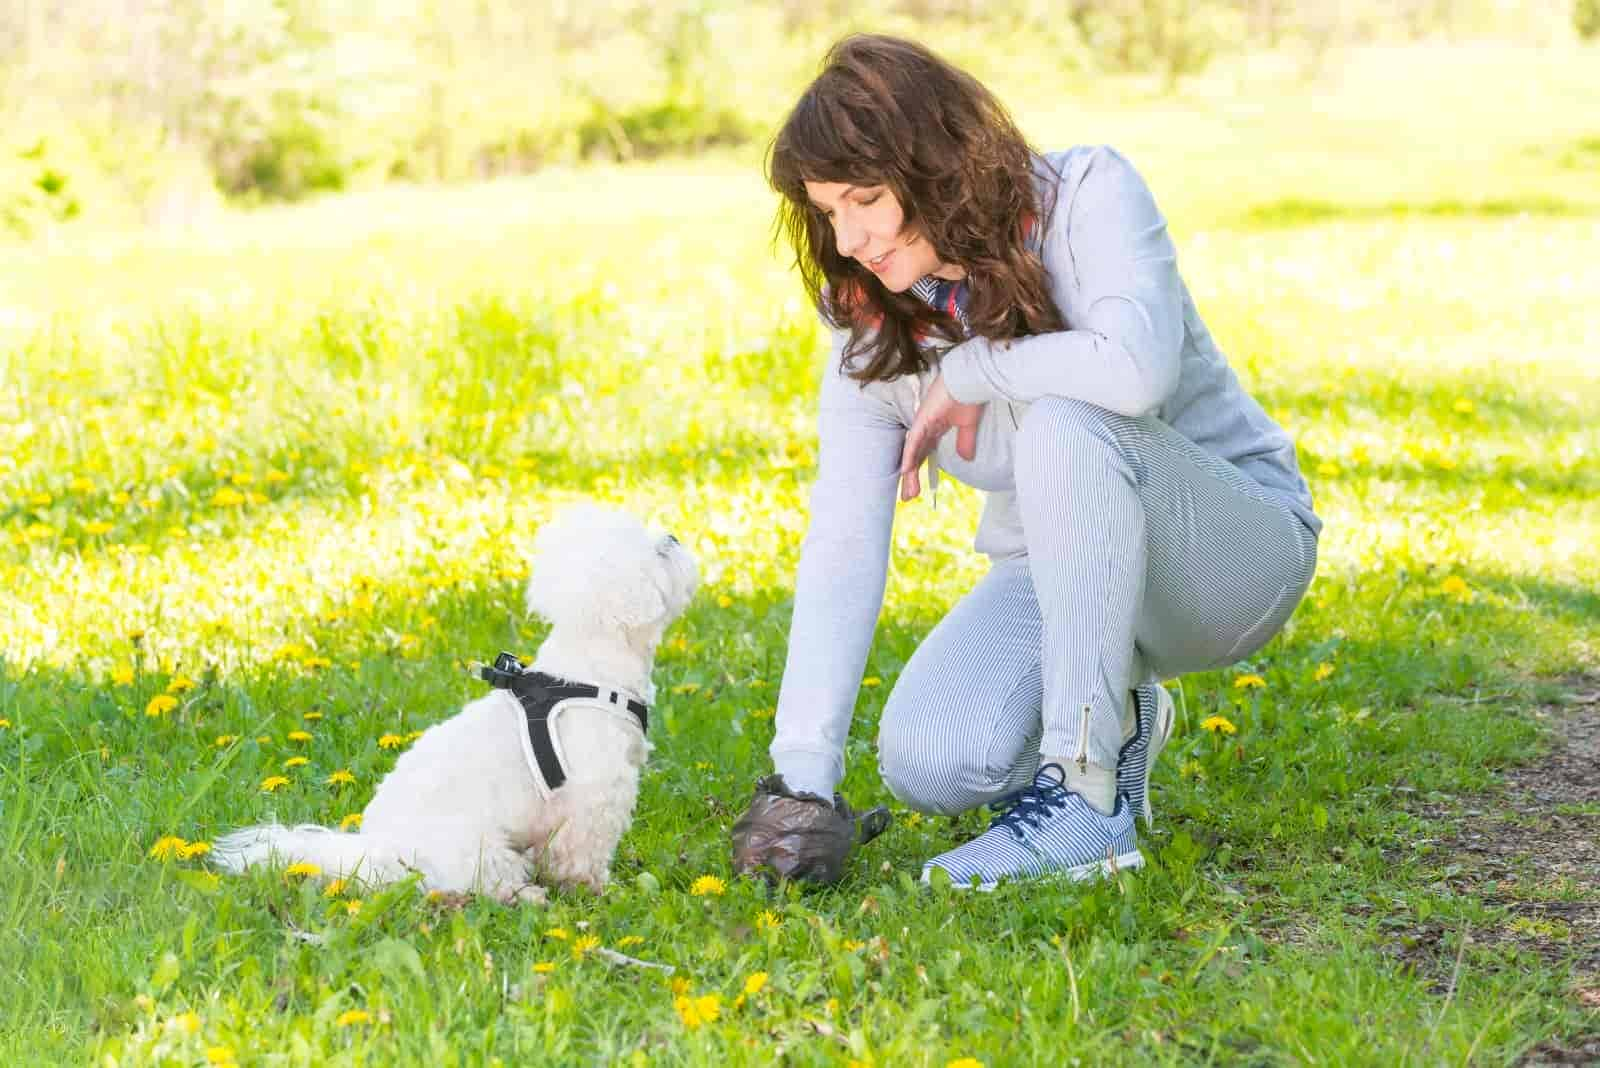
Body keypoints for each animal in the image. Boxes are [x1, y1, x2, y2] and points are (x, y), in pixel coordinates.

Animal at [211, 505, 694, 908]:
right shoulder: (595, 797)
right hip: (478, 849)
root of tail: (376, 851)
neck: (592, 668)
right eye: (660, 550)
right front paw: (594, 889)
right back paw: (526, 895)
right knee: (482, 882)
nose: (674, 534)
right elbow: (581, 854)